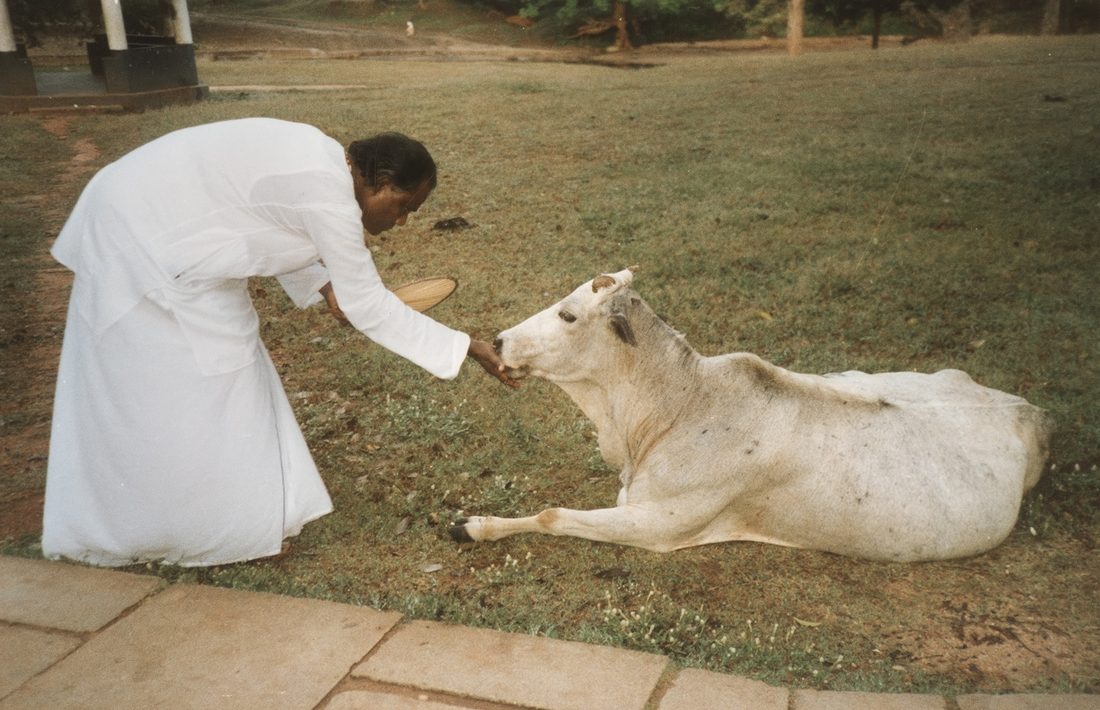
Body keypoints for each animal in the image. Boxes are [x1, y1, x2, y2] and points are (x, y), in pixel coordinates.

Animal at [450, 268, 1053, 562]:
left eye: (569, 315)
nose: (498, 341)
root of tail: (1032, 410)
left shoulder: (659, 523)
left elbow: (553, 515)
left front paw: (473, 526)